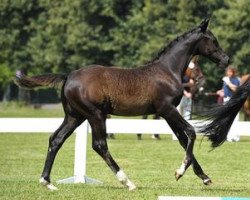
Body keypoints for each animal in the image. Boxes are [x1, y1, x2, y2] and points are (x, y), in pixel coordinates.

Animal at [13, 18, 229, 191]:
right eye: (213, 40)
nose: (226, 59)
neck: (167, 71)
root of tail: (68, 76)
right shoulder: (167, 109)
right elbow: (191, 132)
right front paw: (180, 172)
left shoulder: (166, 113)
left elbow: (183, 140)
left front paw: (204, 177)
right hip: (95, 115)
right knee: (99, 145)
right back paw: (127, 182)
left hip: (75, 116)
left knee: (56, 139)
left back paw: (47, 182)